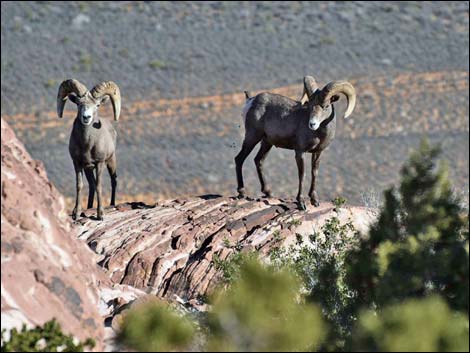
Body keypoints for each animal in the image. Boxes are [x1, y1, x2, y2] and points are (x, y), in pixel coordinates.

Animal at [56, 78, 121, 219]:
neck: (87, 145)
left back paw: (112, 205)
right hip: (88, 169)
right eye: (78, 104)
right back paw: (89, 207)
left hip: (111, 161)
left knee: (113, 180)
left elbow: (99, 185)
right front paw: (76, 213)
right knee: (91, 185)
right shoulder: (78, 164)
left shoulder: (100, 163)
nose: (86, 117)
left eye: (97, 105)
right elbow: (79, 186)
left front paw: (100, 214)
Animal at [235, 75, 356, 209]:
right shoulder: (300, 152)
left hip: (267, 143)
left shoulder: (318, 152)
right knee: (239, 159)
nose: (312, 124)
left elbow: (314, 173)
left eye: (325, 106)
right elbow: (302, 175)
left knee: (258, 161)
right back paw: (242, 192)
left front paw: (314, 200)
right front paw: (301, 203)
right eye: (310, 106)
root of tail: (250, 101)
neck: (318, 134)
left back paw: (268, 192)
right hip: (252, 137)